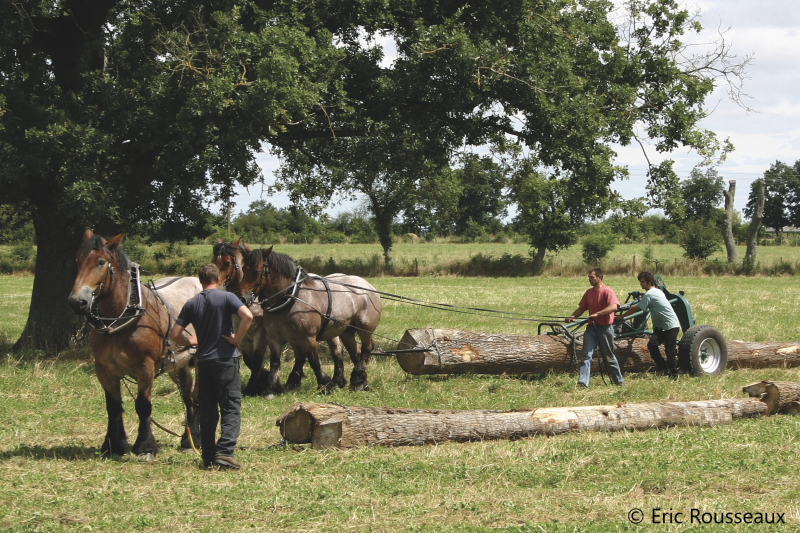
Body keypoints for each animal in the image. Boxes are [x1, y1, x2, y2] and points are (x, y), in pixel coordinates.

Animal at [69, 230, 203, 458]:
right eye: (78, 260)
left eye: (101, 262)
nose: (77, 302)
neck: (119, 318)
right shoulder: (103, 368)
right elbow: (113, 406)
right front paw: (113, 445)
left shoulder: (145, 366)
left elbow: (143, 405)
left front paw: (145, 446)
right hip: (179, 364)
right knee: (189, 395)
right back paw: (188, 439)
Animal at [212, 237, 344, 394]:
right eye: (213, 260)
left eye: (226, 262)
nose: (216, 288)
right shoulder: (242, 336)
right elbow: (249, 361)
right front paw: (264, 380)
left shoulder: (261, 335)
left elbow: (256, 361)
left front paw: (255, 386)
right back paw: (294, 380)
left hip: (329, 331)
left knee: (336, 351)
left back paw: (337, 379)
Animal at [238, 245, 382, 390]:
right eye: (243, 269)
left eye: (256, 272)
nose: (243, 298)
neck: (291, 297)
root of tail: (368, 286)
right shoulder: (275, 338)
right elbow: (276, 362)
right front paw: (271, 387)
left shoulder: (308, 338)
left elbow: (314, 361)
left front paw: (325, 385)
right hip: (345, 331)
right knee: (355, 352)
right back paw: (361, 381)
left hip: (365, 328)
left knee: (366, 349)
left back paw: (358, 379)